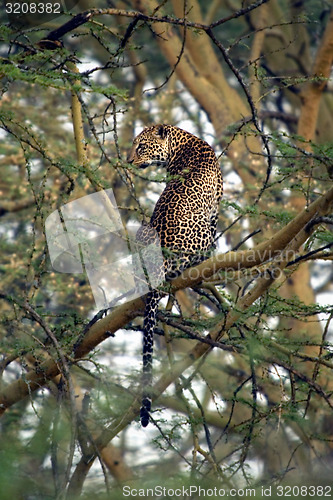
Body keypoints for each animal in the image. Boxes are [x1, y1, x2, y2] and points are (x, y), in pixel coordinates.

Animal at [127, 124, 223, 426]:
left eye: (140, 146)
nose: (128, 160)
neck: (184, 141)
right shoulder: (215, 210)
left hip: (142, 232)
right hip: (203, 230)